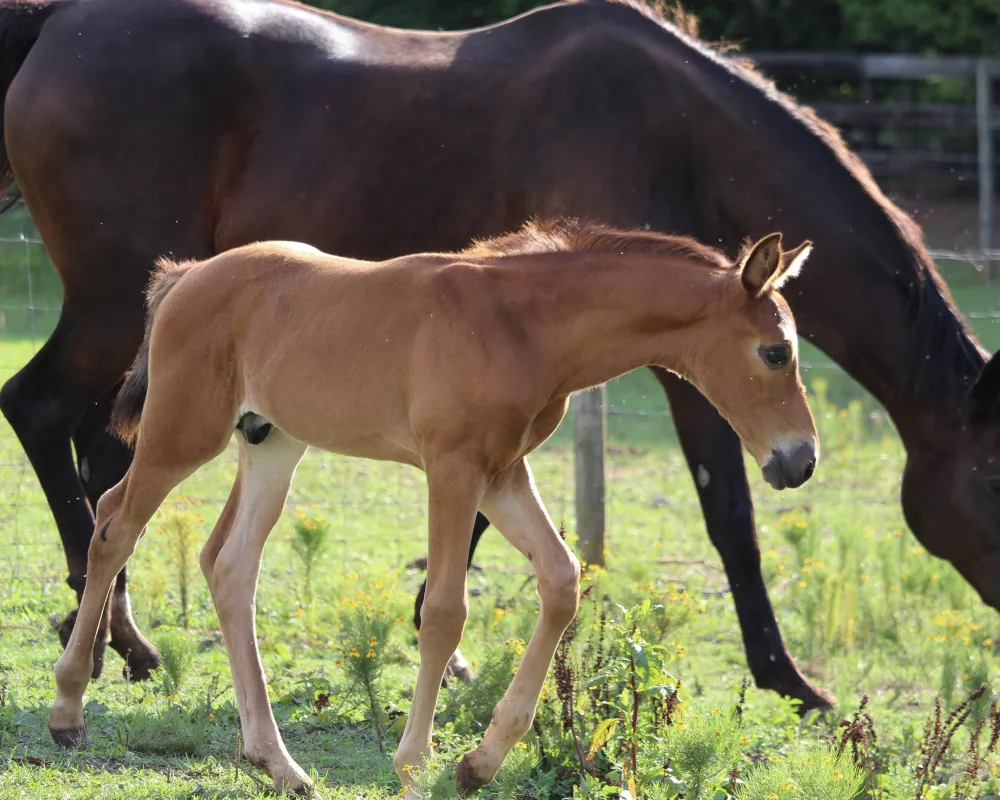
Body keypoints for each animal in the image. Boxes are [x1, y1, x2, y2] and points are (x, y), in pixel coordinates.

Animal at [0, 0, 996, 712]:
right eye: (990, 481)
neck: (668, 125)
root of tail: (56, 23)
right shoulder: (674, 367)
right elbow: (730, 515)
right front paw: (788, 678)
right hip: (110, 304)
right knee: (46, 416)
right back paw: (115, 642)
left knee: (102, 448)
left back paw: (102, 629)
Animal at [47, 219, 816, 792]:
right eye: (776, 353)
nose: (800, 461)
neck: (522, 324)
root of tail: (185, 277)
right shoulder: (453, 468)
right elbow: (445, 611)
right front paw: (415, 763)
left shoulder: (504, 473)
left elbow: (562, 580)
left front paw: (480, 762)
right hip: (184, 432)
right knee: (114, 524)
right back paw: (68, 708)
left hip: (272, 443)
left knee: (228, 564)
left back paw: (278, 762)